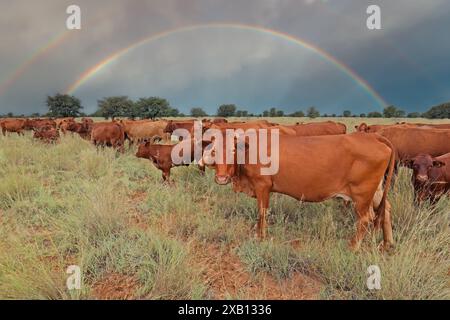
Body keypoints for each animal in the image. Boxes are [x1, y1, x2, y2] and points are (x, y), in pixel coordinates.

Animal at [202, 131, 396, 251]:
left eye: (233, 150)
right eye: (214, 151)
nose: (221, 178)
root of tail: (373, 136)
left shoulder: (262, 186)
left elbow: (262, 213)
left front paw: (260, 238)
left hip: (362, 195)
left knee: (366, 219)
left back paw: (353, 247)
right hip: (375, 192)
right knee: (386, 210)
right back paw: (388, 244)